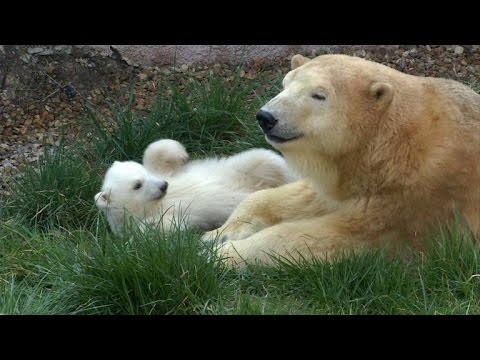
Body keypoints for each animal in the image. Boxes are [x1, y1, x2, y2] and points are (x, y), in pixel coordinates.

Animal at [203, 52, 480, 264]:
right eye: (285, 85)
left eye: (318, 95)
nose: (266, 117)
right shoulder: (349, 176)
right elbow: (298, 196)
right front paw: (219, 234)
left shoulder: (412, 202)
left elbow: (328, 237)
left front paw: (222, 255)